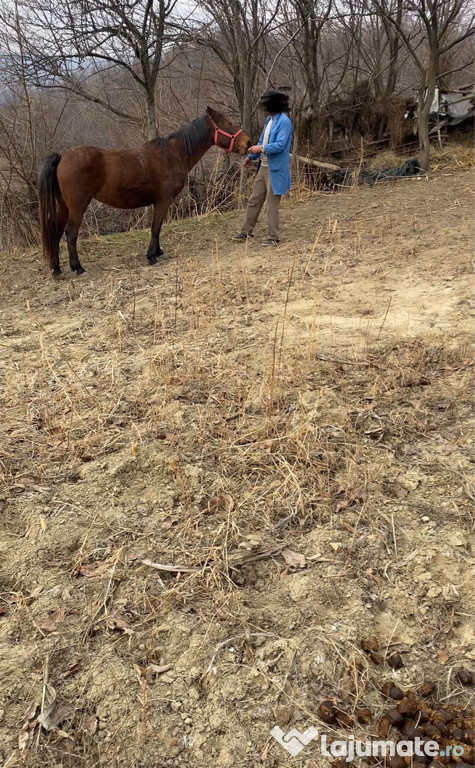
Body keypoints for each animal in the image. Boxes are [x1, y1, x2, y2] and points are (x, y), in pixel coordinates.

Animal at [39, 107, 251, 276]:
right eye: (228, 123)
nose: (248, 143)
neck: (173, 155)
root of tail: (62, 156)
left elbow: (159, 226)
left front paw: (158, 251)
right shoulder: (163, 200)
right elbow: (155, 227)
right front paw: (151, 256)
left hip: (64, 206)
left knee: (56, 231)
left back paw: (56, 268)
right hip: (78, 206)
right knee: (70, 233)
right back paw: (77, 267)